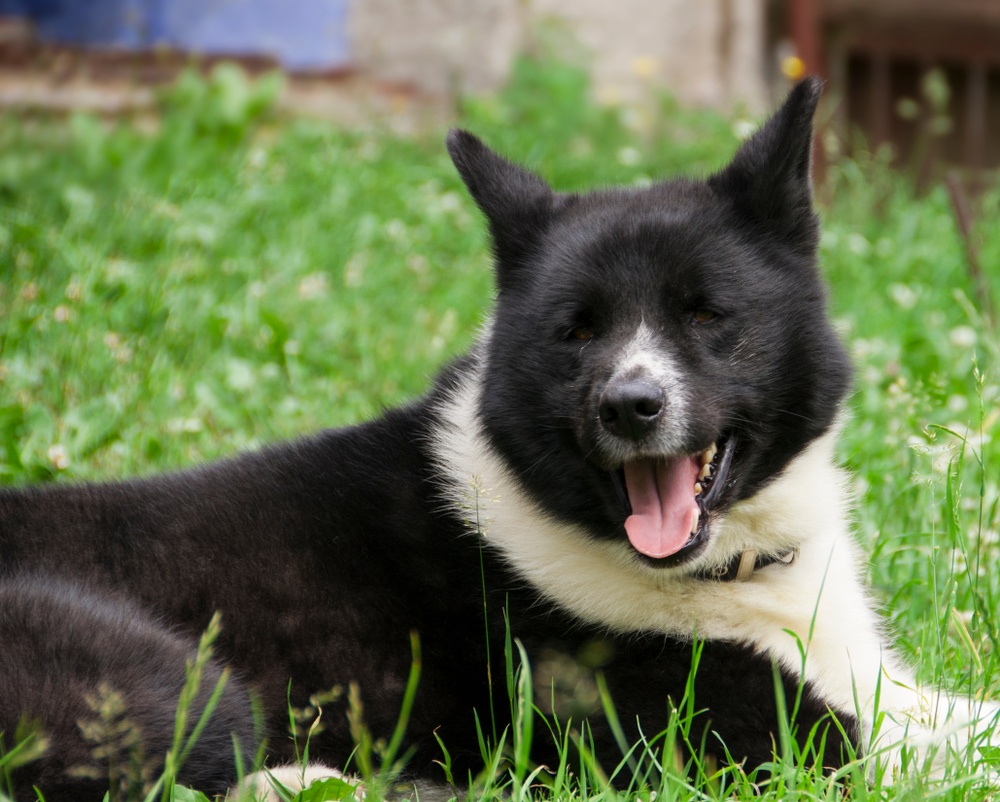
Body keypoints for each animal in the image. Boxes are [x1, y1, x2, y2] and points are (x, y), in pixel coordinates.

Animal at [0, 76, 992, 800]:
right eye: (575, 332)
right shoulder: (755, 740)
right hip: (173, 683)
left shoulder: (885, 692)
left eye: (708, 314)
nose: (630, 407)